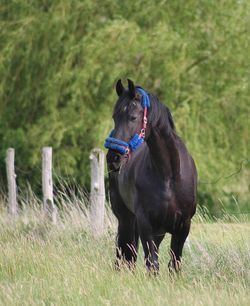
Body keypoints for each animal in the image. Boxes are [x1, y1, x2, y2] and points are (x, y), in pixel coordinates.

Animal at [104, 79, 196, 272]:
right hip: (125, 220)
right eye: (114, 117)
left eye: (133, 117)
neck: (169, 176)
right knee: (125, 254)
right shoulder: (145, 224)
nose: (113, 158)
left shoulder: (183, 226)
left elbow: (174, 264)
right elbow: (152, 264)